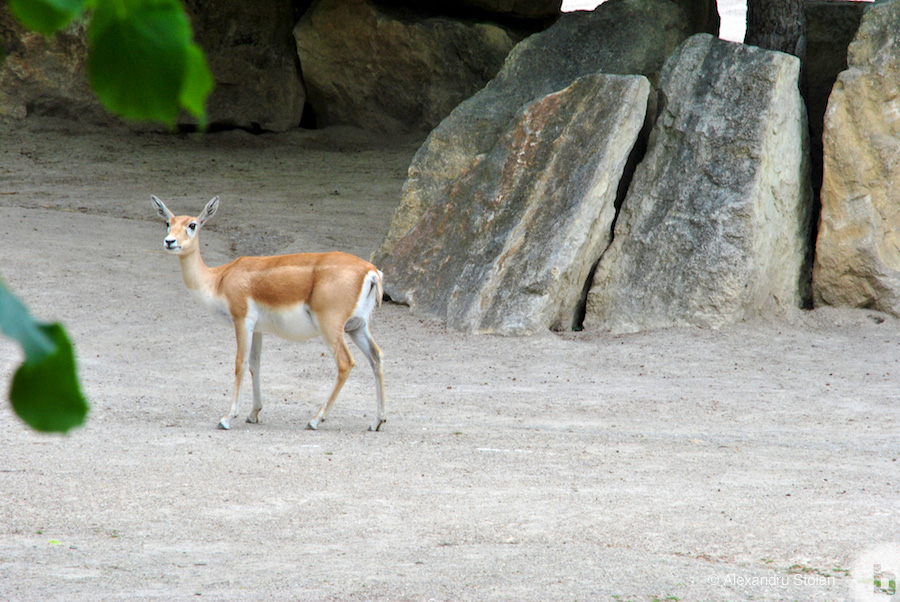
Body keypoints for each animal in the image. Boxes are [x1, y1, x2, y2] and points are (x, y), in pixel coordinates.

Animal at [151, 197, 384, 432]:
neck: (218, 279)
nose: (169, 241)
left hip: (331, 326)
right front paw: (253, 413)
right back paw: (377, 421)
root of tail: (371, 271)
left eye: (192, 225)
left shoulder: (242, 320)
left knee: (345, 363)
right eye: (168, 223)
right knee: (377, 357)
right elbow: (255, 364)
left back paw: (315, 420)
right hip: (357, 326)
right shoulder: (258, 329)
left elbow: (240, 363)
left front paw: (227, 418)